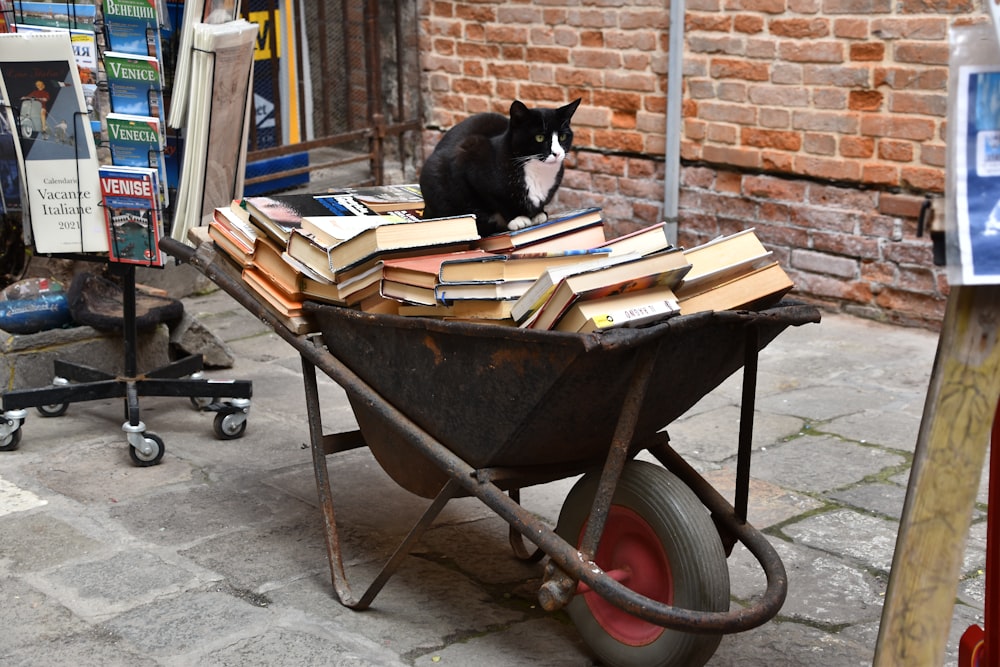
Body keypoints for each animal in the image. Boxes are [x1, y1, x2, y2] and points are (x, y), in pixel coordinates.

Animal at [418, 98, 584, 236]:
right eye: (540, 137)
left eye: (562, 136)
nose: (557, 153)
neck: (537, 169)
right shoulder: (470, 157)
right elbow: (496, 199)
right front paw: (517, 218)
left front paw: (539, 213)